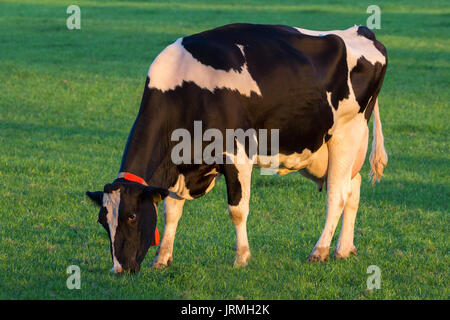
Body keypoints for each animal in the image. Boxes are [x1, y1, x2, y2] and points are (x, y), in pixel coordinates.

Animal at [87, 23, 386, 274]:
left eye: (132, 216)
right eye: (102, 221)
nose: (119, 270)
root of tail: (360, 31)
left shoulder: (236, 153)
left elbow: (237, 209)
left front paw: (241, 257)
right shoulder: (180, 165)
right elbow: (172, 211)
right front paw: (162, 258)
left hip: (347, 135)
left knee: (337, 195)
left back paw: (320, 250)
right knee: (353, 188)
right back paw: (343, 249)